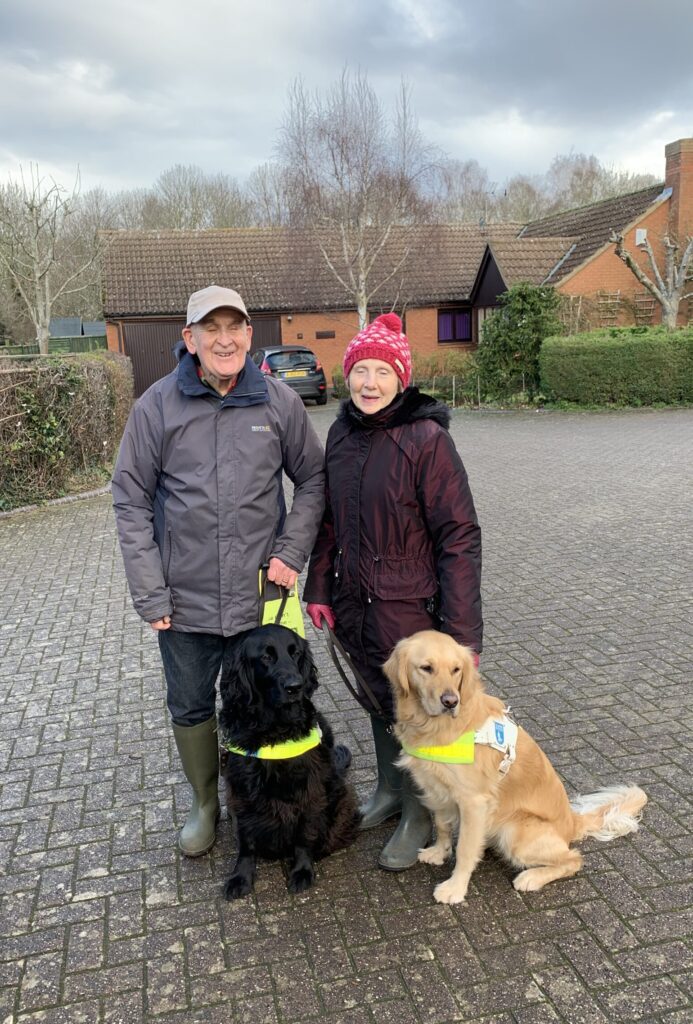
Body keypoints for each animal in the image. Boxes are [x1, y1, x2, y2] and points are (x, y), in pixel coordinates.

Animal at [220, 622, 362, 897]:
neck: (274, 731)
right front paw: (241, 876)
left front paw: (303, 870)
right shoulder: (242, 789)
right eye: (266, 657)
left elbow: (304, 833)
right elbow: (245, 839)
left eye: (295, 653)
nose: (295, 687)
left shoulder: (309, 787)